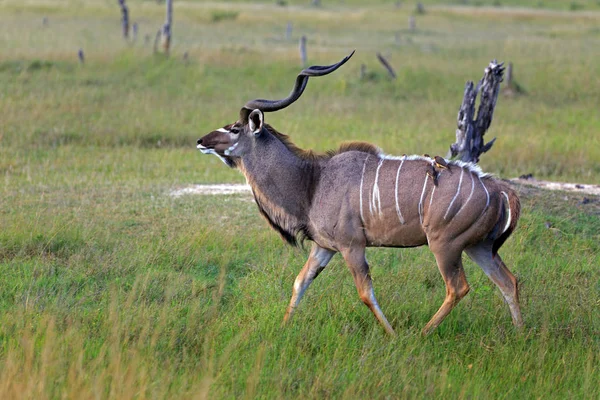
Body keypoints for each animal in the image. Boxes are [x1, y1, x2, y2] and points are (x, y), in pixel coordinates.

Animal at [196, 51, 520, 336]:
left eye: (234, 129)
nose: (201, 140)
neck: (313, 181)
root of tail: (500, 190)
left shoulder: (352, 246)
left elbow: (365, 292)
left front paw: (392, 335)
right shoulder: (323, 247)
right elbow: (300, 282)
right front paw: (283, 327)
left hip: (445, 245)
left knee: (458, 287)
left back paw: (423, 334)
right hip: (478, 247)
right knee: (508, 281)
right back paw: (520, 334)